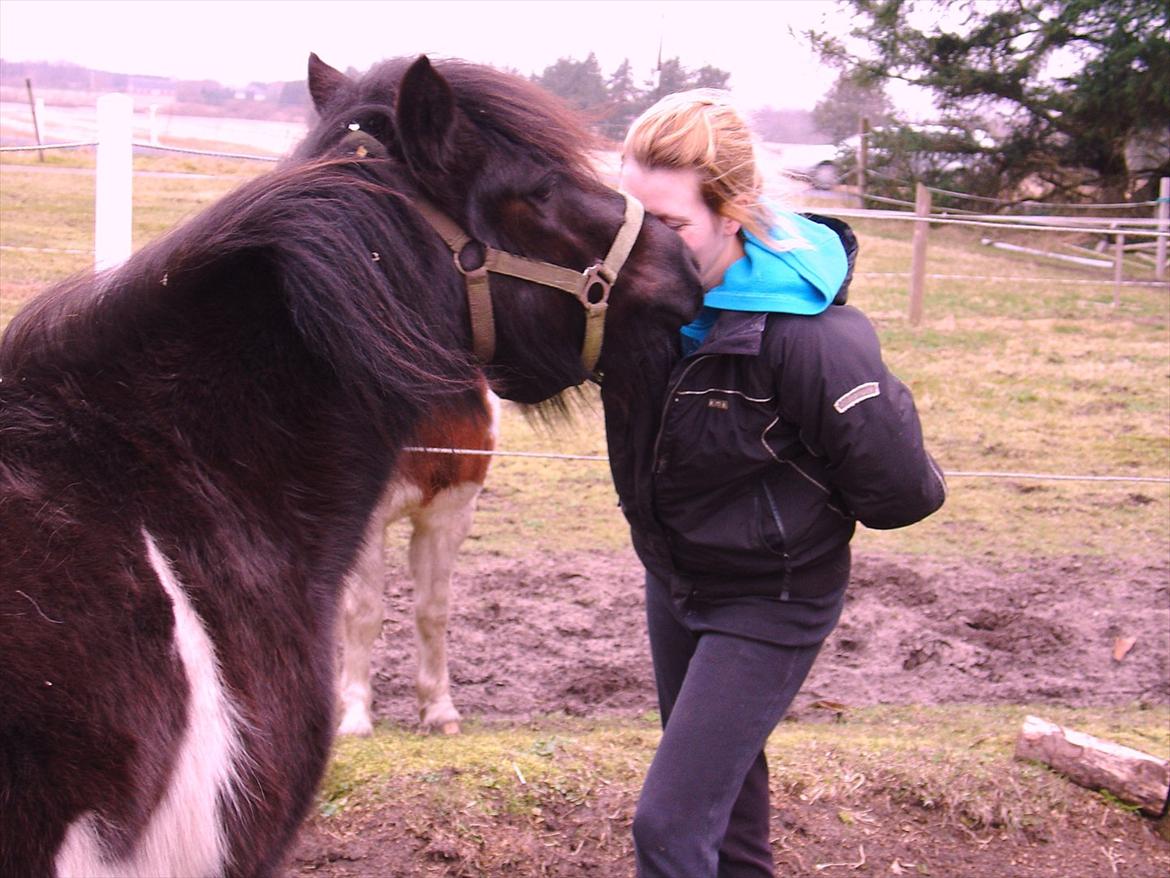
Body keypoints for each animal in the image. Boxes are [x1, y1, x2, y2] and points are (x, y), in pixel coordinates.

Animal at [336, 380, 500, 737]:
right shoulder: (366, 521)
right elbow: (363, 613)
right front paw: (355, 715)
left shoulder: (447, 515)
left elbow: (432, 612)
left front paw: (439, 710)